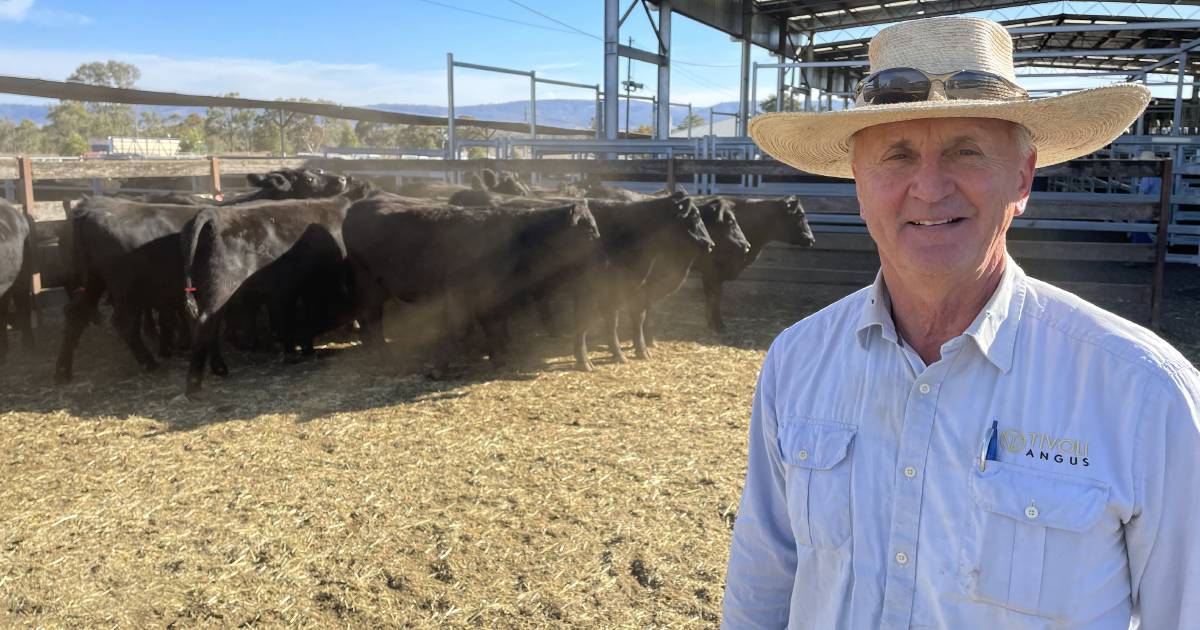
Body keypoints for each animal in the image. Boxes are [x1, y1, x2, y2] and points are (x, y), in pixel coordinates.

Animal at [180, 184, 369, 396]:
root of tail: (212, 214)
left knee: (208, 324)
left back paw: (219, 368)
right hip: (223, 285)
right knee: (205, 323)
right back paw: (194, 384)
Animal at [345, 199, 600, 372]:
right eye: (588, 230)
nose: (599, 251)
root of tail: (359, 205)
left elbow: (495, 326)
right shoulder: (473, 295)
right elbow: (478, 326)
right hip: (369, 284)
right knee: (371, 318)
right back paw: (387, 357)